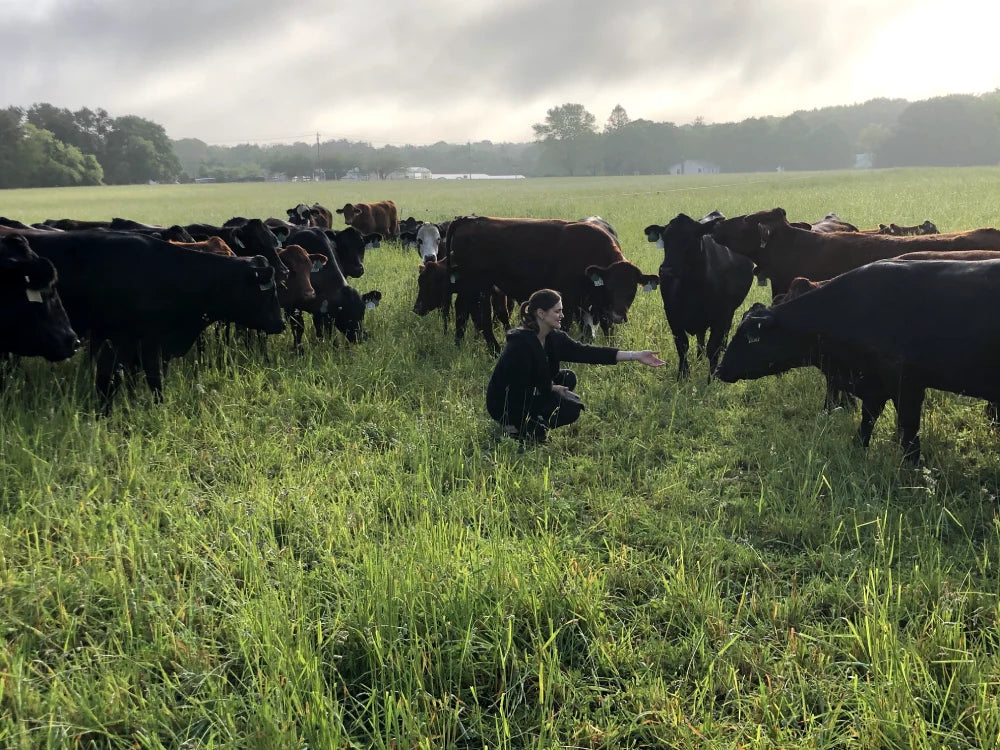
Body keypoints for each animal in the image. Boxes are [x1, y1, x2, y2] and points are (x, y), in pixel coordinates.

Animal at [652, 212, 752, 378]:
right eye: (665, 239)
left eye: (690, 238)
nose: (666, 270)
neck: (691, 289)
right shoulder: (672, 316)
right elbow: (682, 346)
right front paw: (683, 376)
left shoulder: (721, 315)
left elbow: (713, 348)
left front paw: (712, 378)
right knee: (700, 336)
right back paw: (699, 358)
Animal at [720, 262, 1000, 468]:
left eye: (747, 337)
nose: (720, 369)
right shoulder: (873, 385)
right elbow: (867, 421)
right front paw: (856, 450)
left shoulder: (907, 385)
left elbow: (908, 430)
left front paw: (912, 468)